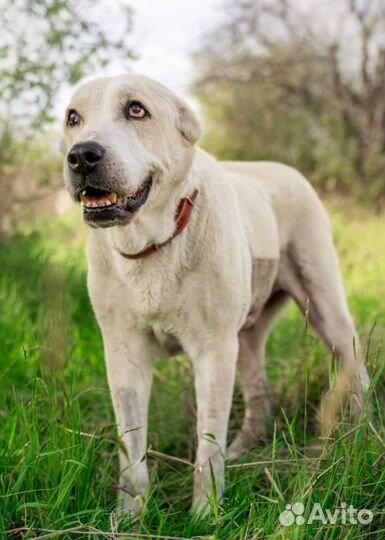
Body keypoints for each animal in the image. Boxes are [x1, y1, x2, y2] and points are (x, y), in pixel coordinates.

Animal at [62, 73, 368, 516]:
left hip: (325, 309)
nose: (82, 156)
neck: (154, 244)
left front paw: (206, 515)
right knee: (260, 396)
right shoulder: (123, 354)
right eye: (73, 118)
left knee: (356, 366)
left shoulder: (213, 351)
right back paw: (243, 448)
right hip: (246, 338)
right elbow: (130, 446)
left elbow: (207, 444)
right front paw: (130, 515)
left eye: (136, 109)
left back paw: (361, 432)